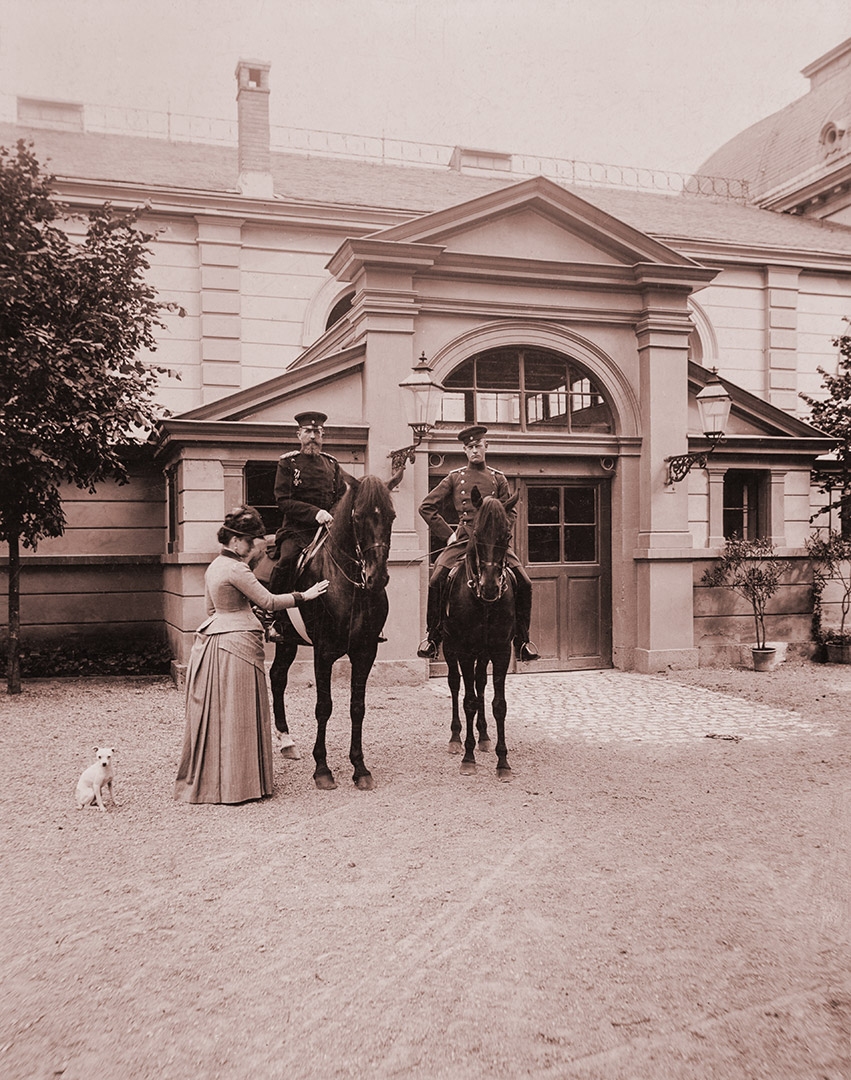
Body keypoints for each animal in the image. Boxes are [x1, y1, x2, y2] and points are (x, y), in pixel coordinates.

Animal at [268, 473, 400, 790]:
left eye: (391, 516)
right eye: (358, 516)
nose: (377, 577)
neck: (348, 583)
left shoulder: (365, 651)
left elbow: (357, 707)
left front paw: (360, 768)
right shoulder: (323, 652)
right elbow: (323, 706)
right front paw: (322, 769)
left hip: (287, 642)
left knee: (277, 677)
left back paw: (286, 741)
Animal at [441, 487, 518, 779]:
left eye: (506, 535)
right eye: (476, 534)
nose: (489, 587)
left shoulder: (500, 650)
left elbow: (499, 704)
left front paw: (502, 761)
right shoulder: (463, 650)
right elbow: (469, 701)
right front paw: (468, 758)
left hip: (482, 654)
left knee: (480, 683)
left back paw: (484, 736)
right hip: (449, 647)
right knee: (455, 685)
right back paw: (455, 739)